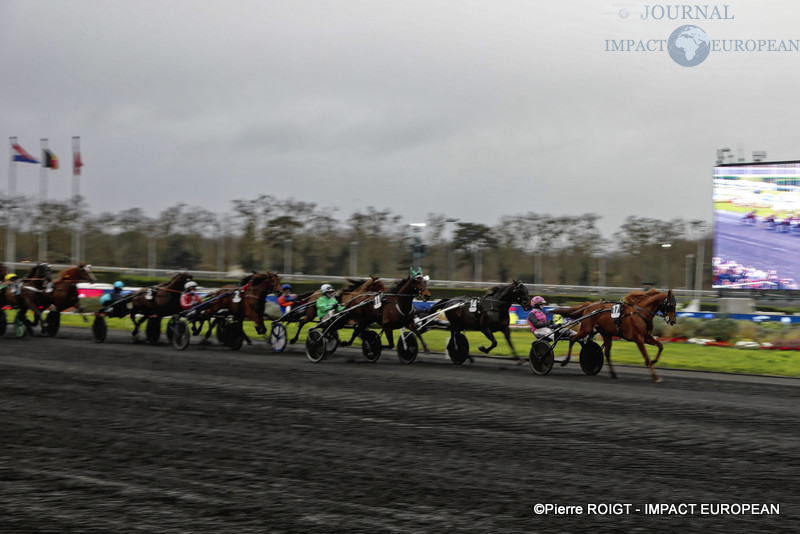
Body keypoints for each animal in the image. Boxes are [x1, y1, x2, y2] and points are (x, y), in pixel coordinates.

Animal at [552, 292, 680, 384]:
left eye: (675, 304)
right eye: (670, 305)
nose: (673, 320)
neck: (640, 313)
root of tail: (589, 305)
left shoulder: (646, 337)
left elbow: (661, 346)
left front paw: (654, 361)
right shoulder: (638, 339)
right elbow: (647, 356)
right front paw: (655, 376)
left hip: (606, 333)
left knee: (607, 353)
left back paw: (613, 374)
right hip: (585, 329)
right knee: (573, 339)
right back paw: (565, 361)